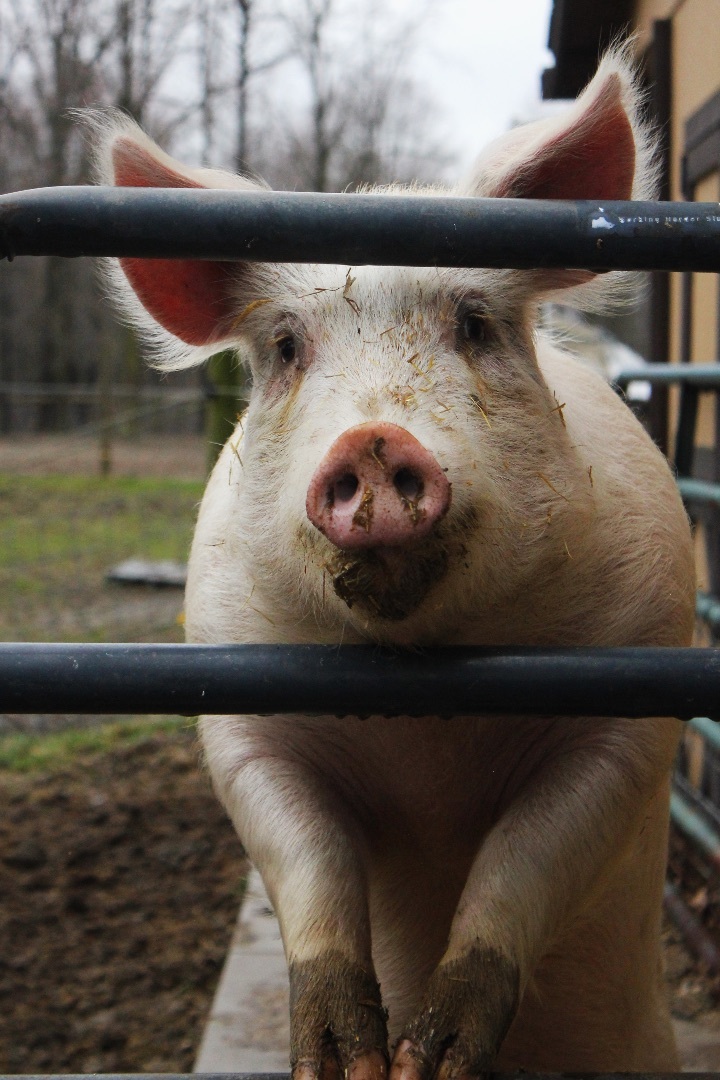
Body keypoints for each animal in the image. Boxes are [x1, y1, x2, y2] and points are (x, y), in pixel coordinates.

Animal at [90, 44, 695, 1077]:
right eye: (286, 347)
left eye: (476, 324)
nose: (373, 440)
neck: (425, 728)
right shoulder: (240, 709)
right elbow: (310, 864)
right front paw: (352, 1061)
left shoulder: (635, 694)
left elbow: (524, 860)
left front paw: (431, 1059)